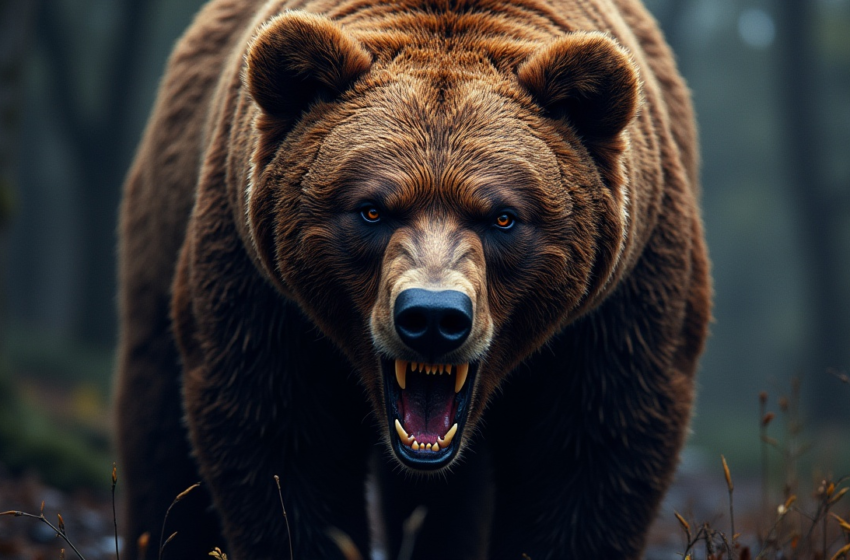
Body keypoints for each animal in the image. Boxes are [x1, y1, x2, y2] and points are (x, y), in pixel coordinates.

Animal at [115, 0, 711, 558]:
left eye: (503, 217)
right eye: (371, 210)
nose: (432, 316)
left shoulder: (615, 309)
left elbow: (590, 455)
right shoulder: (264, 298)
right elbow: (280, 442)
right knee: (160, 430)